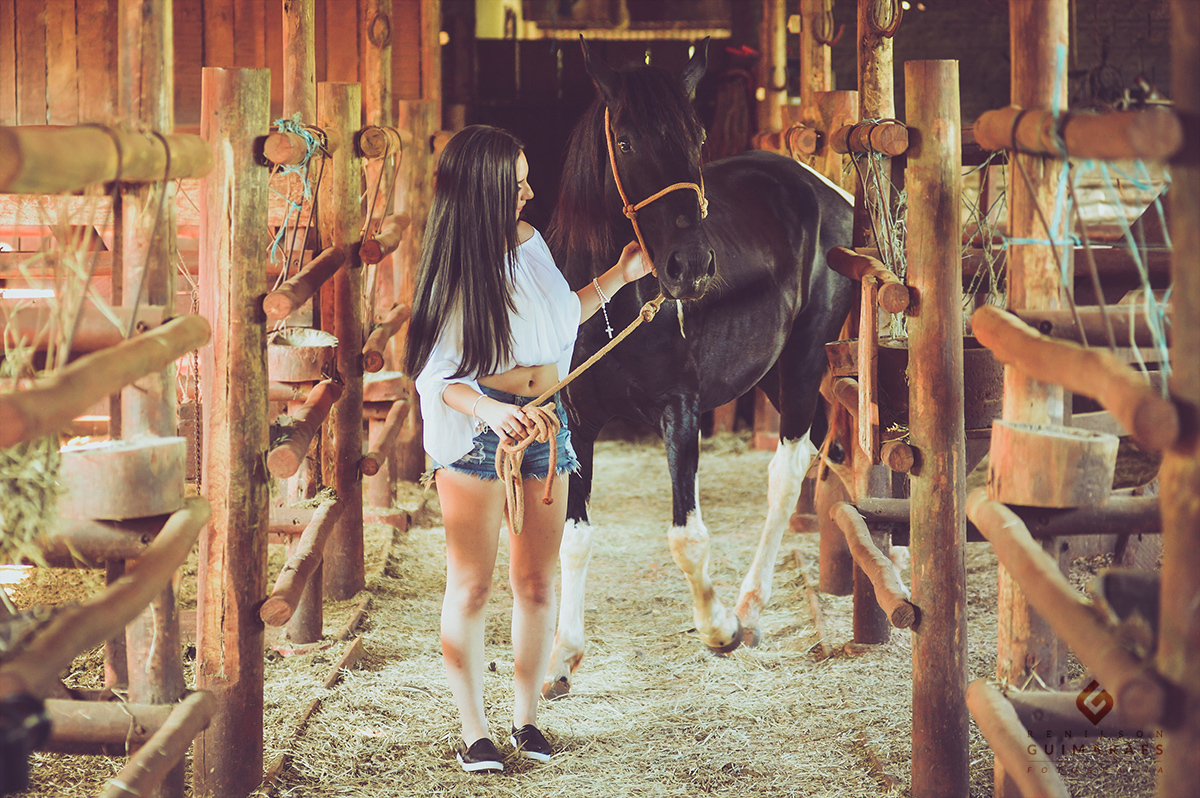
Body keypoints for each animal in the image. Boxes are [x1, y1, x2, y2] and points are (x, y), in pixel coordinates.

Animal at [541, 39, 856, 699]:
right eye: (625, 141)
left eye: (698, 135)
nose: (691, 266)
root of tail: (820, 187)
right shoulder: (577, 418)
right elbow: (574, 539)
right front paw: (561, 659)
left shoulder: (679, 410)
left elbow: (686, 535)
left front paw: (718, 629)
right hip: (771, 369)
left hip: (804, 356)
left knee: (787, 470)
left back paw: (749, 609)